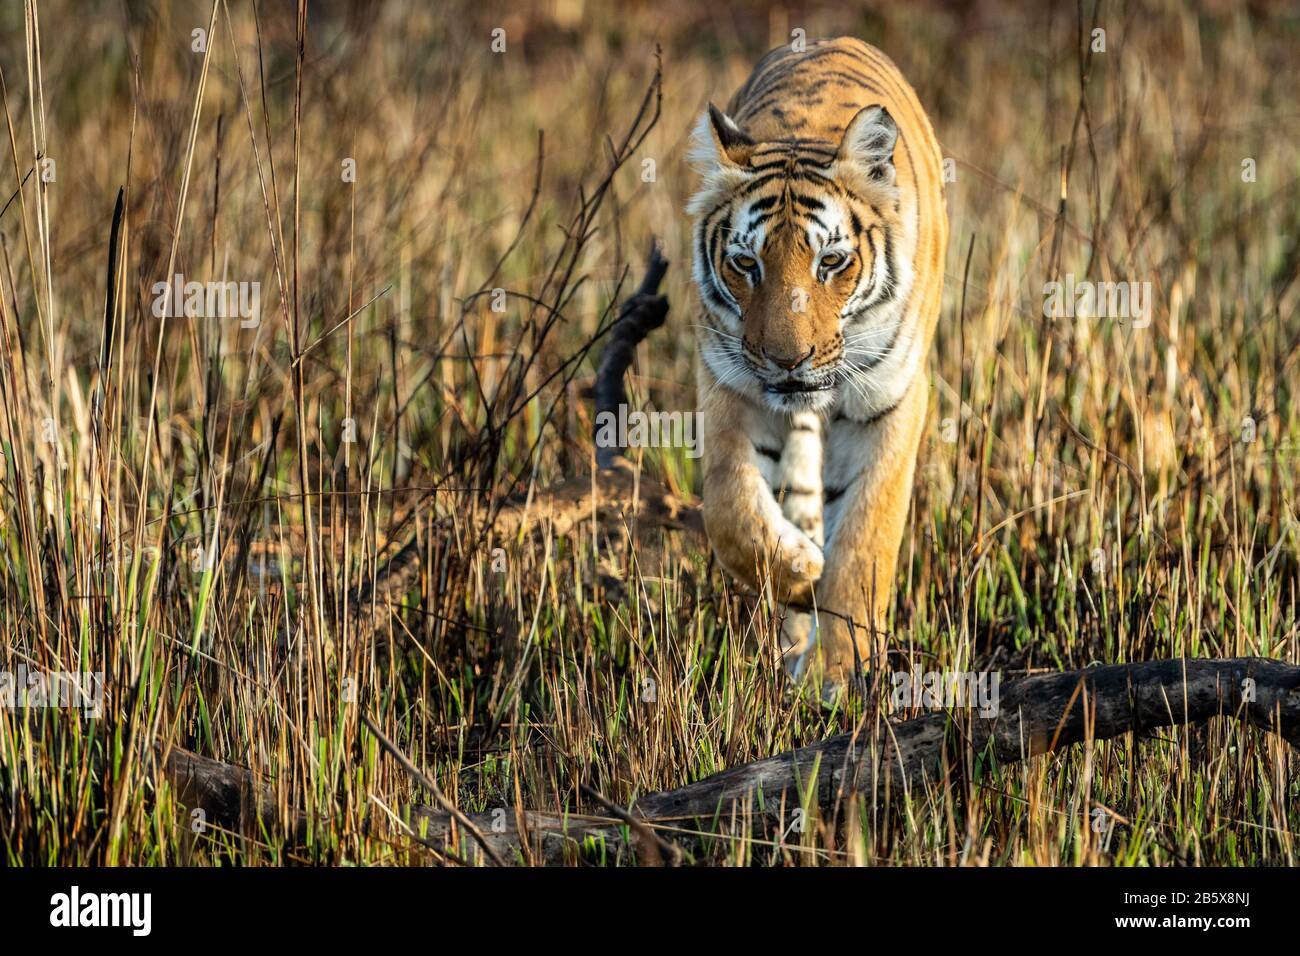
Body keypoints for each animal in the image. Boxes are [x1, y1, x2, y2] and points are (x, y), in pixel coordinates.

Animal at [686, 37, 951, 691]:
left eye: (830, 261)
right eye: (745, 263)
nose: (788, 360)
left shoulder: (890, 401)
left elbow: (865, 539)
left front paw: (839, 672)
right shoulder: (730, 383)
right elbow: (730, 507)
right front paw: (799, 571)